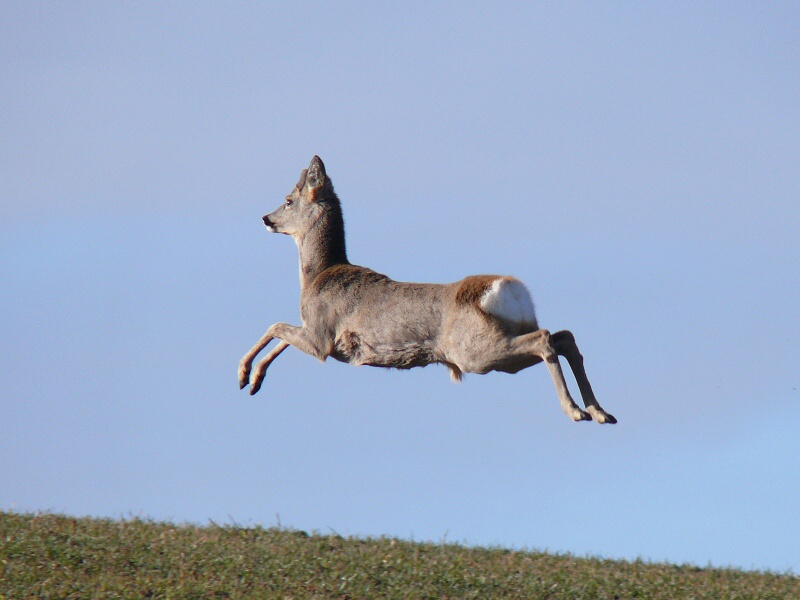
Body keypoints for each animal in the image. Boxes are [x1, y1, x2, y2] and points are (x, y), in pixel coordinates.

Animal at [234, 157, 616, 424]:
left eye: (288, 199)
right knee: (563, 336)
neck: (318, 276)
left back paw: (576, 411)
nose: (266, 219)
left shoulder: (322, 339)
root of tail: (509, 289)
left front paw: (242, 374)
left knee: (545, 339)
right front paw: (254, 382)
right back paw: (600, 412)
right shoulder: (315, 335)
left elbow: (275, 327)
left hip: (476, 351)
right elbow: (281, 336)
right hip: (504, 338)